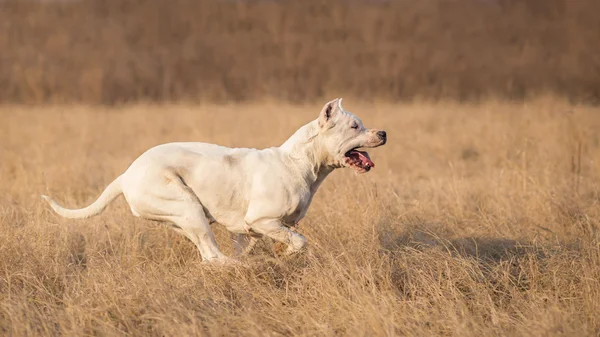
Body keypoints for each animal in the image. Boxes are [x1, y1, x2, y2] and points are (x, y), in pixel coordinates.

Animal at [43, 98, 390, 264]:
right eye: (355, 126)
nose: (384, 132)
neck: (300, 161)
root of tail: (126, 174)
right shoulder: (263, 221)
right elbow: (300, 242)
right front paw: (286, 257)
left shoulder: (251, 231)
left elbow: (261, 242)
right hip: (187, 207)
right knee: (212, 257)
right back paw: (243, 269)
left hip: (184, 219)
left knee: (208, 253)